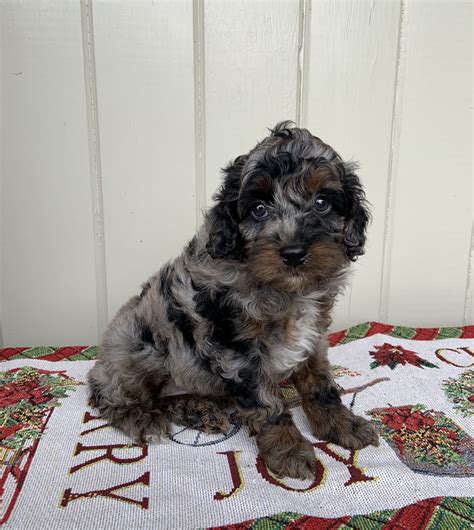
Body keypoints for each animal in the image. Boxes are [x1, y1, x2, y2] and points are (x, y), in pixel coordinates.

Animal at [88, 121, 378, 476]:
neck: (287, 291)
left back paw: (200, 410)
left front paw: (341, 424)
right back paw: (142, 418)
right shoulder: (236, 348)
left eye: (322, 202)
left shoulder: (314, 335)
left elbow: (320, 384)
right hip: (135, 346)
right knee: (105, 390)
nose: (294, 253)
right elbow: (268, 402)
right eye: (259, 209)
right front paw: (289, 449)